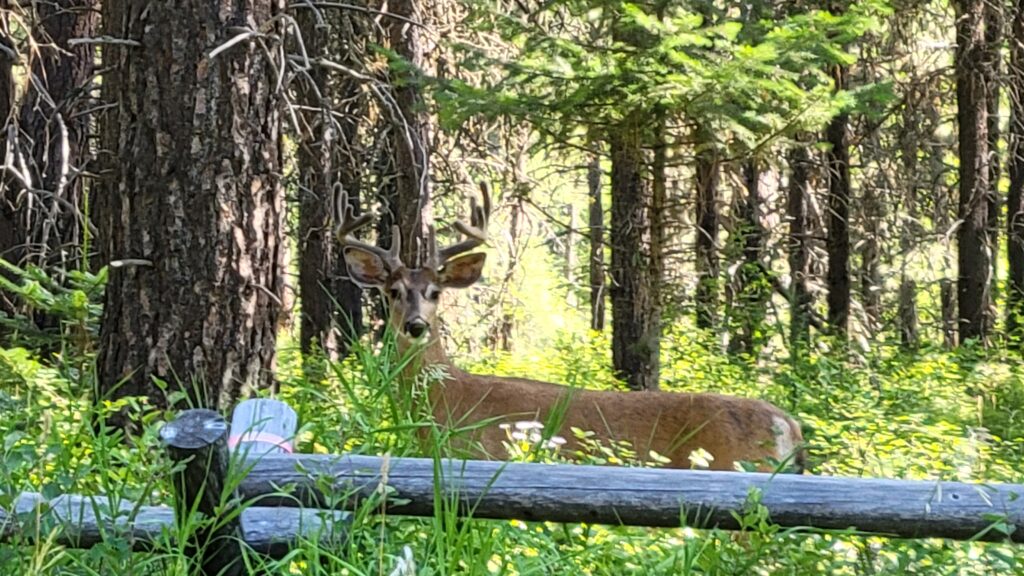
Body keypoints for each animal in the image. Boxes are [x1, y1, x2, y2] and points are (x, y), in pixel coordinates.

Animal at [339, 182, 802, 471]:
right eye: (393, 291)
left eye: (435, 292)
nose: (416, 325)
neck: (448, 396)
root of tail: (789, 424)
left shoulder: (483, 454)